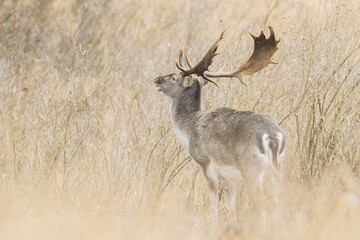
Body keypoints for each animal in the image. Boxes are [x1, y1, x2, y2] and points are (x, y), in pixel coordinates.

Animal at [153, 26, 286, 214]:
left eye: (174, 76)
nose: (156, 79)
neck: (190, 129)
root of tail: (273, 137)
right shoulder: (229, 177)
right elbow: (229, 205)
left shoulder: (206, 164)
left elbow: (216, 204)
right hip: (278, 167)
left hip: (252, 167)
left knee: (261, 201)